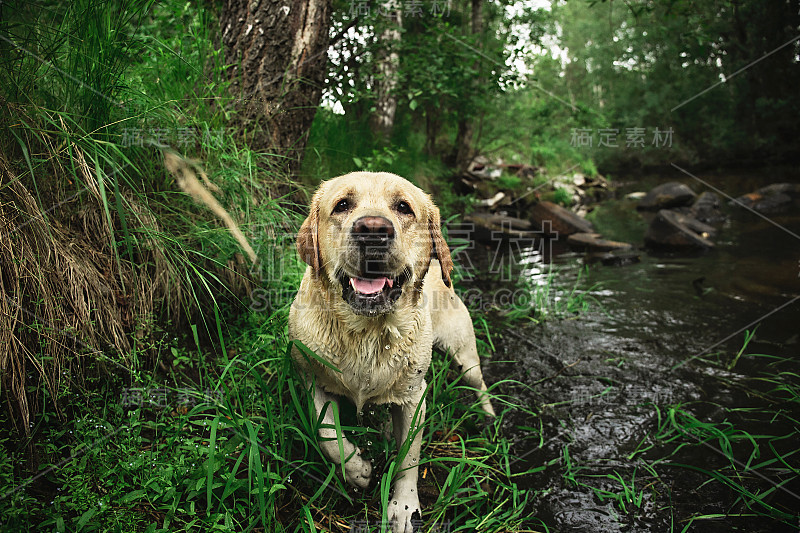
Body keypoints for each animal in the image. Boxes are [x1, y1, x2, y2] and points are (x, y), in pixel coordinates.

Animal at [288, 172, 494, 528]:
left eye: (403, 207)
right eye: (342, 205)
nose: (372, 229)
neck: (365, 333)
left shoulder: (414, 397)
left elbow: (409, 457)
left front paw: (405, 507)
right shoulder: (312, 379)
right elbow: (326, 433)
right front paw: (356, 469)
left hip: (464, 354)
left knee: (479, 383)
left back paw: (490, 417)